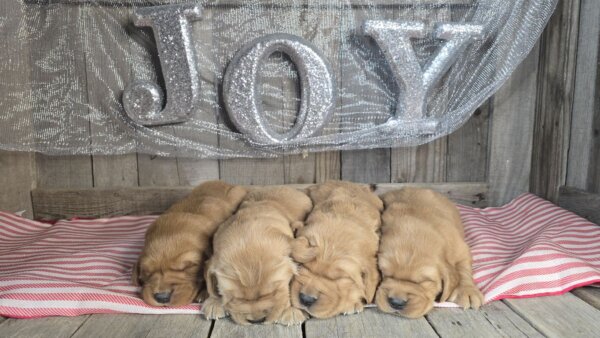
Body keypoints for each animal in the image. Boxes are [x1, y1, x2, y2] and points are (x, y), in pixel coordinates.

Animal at [378, 189, 486, 318]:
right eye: (385, 274)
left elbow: (464, 270)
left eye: (424, 282)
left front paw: (468, 291)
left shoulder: (461, 250)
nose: (396, 302)